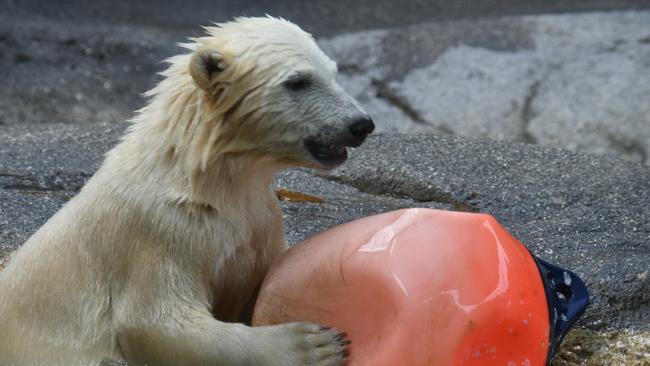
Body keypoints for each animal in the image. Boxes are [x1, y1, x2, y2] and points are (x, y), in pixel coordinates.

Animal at [0, 17, 372, 366]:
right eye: (297, 81)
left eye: (334, 72)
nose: (361, 124)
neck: (202, 178)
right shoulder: (162, 231)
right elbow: (154, 323)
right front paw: (312, 345)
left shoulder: (260, 221)